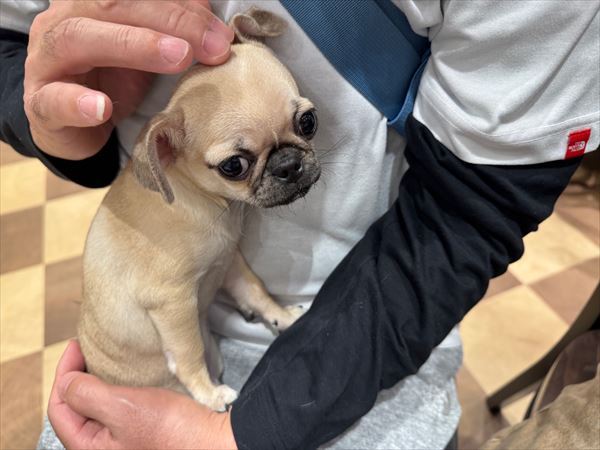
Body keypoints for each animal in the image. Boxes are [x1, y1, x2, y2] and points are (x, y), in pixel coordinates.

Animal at [77, 8, 321, 412]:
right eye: (233, 166)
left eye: (308, 122)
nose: (288, 164)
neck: (208, 202)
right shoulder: (174, 303)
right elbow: (188, 353)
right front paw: (208, 394)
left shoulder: (229, 262)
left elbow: (256, 291)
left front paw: (282, 317)